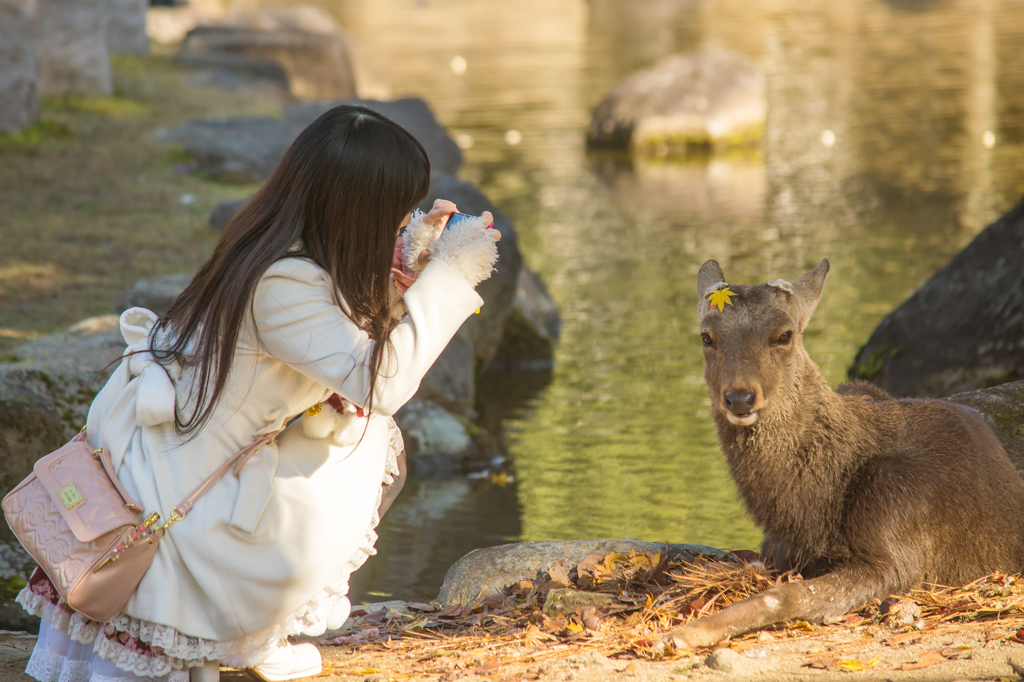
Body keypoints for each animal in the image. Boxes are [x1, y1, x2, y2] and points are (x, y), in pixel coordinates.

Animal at [667, 259, 1024, 647]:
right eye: (706, 336)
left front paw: (688, 632)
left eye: (784, 334)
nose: (740, 398)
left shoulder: (899, 544)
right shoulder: (775, 549)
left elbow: (788, 595)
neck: (810, 514)